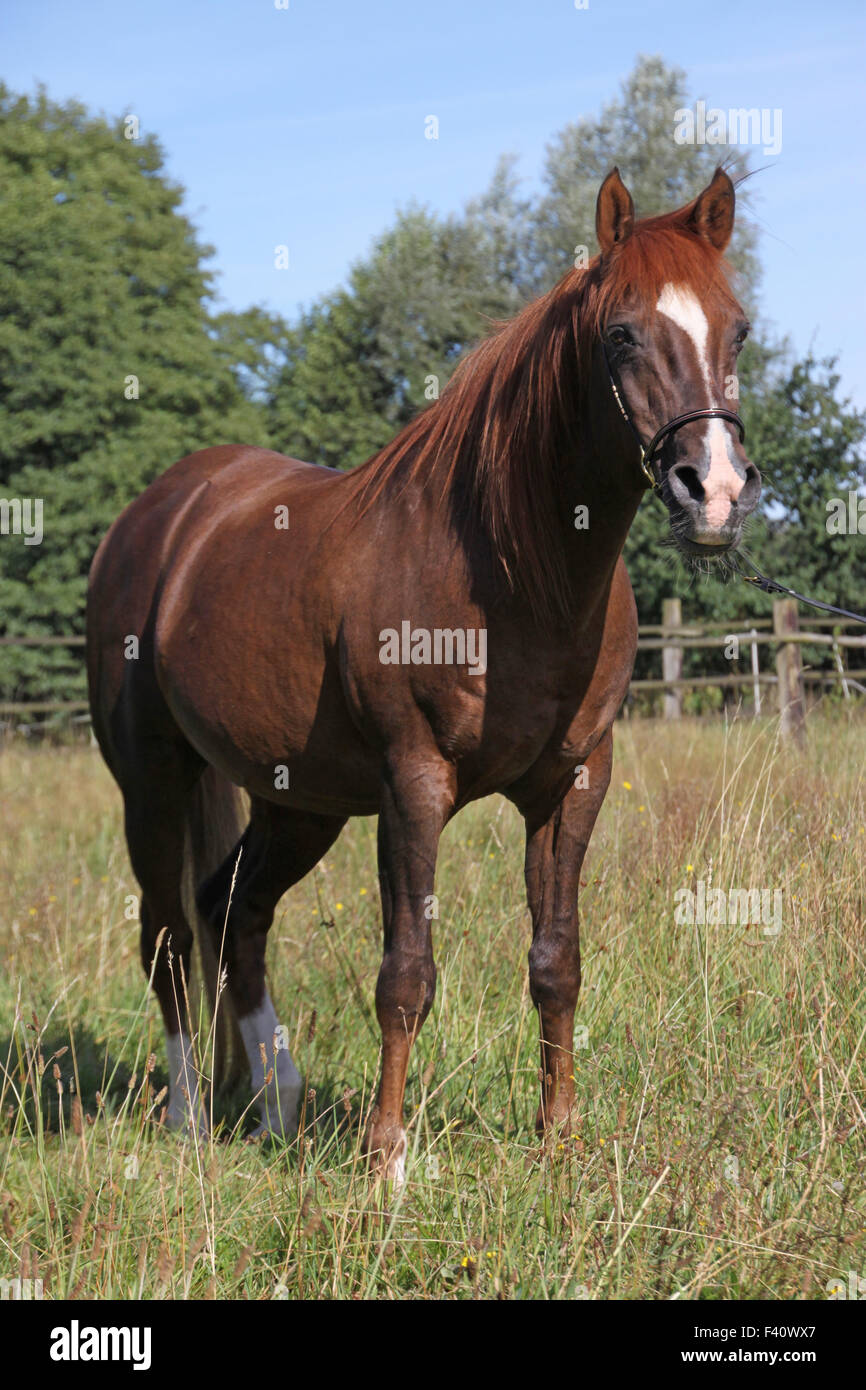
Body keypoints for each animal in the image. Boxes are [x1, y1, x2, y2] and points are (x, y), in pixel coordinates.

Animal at [86, 167, 761, 1181]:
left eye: (739, 328)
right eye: (621, 333)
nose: (712, 492)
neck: (512, 569)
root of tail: (157, 516)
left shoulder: (573, 784)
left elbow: (557, 962)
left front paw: (559, 1141)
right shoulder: (412, 786)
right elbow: (406, 973)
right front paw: (387, 1161)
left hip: (297, 802)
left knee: (234, 916)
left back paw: (276, 1106)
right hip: (153, 785)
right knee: (168, 935)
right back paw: (191, 1120)